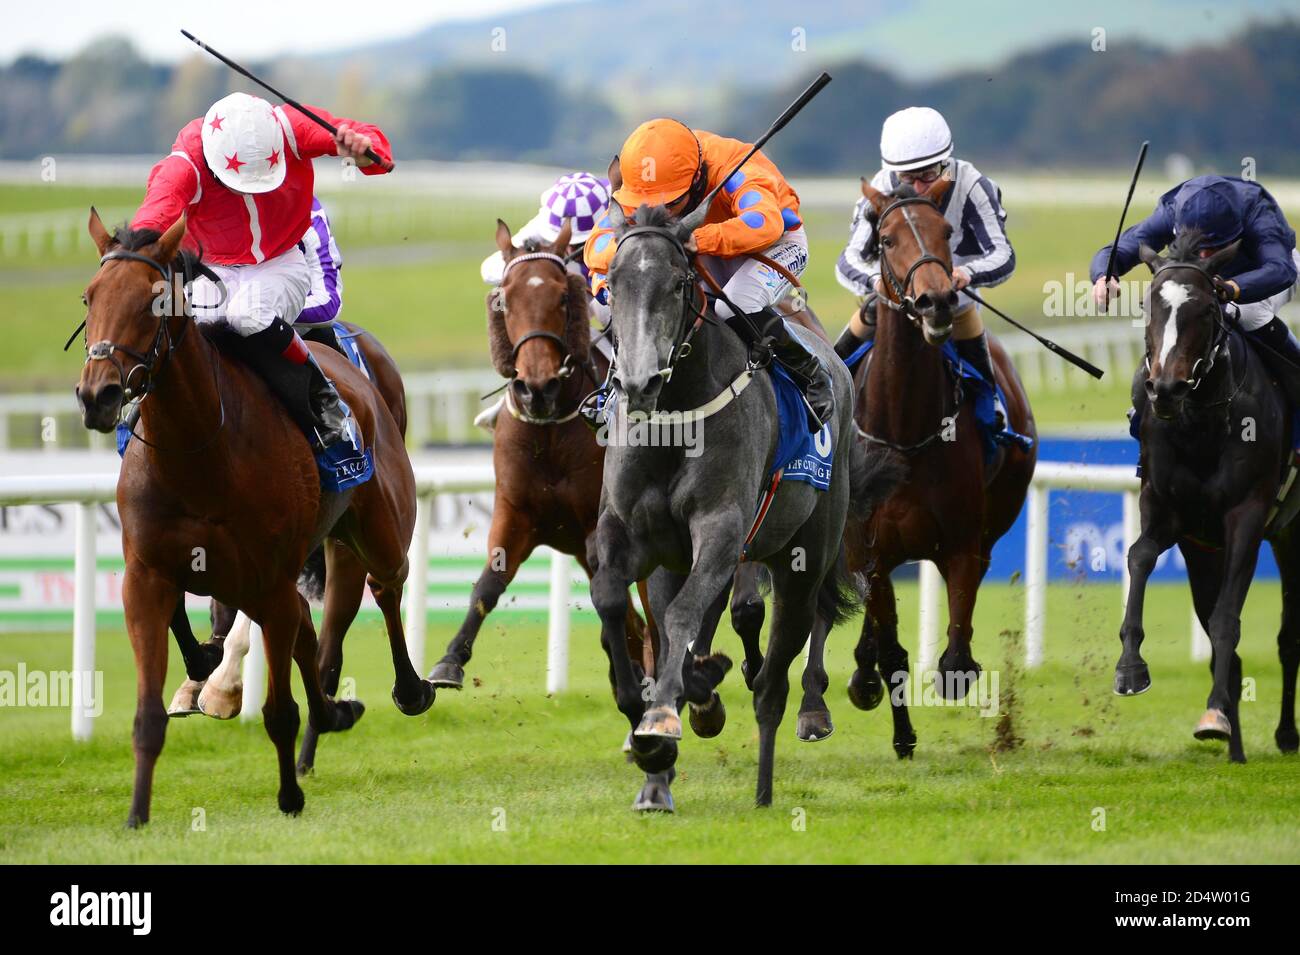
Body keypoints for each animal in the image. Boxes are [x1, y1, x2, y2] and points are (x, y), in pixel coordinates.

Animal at [78, 213, 434, 826]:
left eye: (152, 302)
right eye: (89, 297)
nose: (96, 394)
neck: (200, 450)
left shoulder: (268, 577)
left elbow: (280, 709)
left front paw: (289, 796)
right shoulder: (148, 575)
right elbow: (151, 709)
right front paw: (137, 815)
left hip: (376, 528)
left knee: (384, 584)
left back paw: (408, 690)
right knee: (314, 624)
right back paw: (328, 709)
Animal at [590, 203, 904, 815]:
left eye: (676, 283)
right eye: (612, 283)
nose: (638, 383)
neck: (676, 417)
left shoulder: (721, 528)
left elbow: (684, 618)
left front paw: (659, 723)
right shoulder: (628, 532)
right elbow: (616, 602)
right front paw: (642, 718)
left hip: (803, 559)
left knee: (775, 681)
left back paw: (769, 775)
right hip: (681, 563)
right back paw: (665, 768)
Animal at [826, 183, 1040, 758]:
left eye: (945, 231)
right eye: (884, 238)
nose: (937, 300)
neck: (904, 432)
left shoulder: (962, 543)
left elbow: (954, 661)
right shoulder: (870, 549)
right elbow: (893, 653)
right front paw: (902, 735)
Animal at [1112, 229, 1294, 764]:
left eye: (1208, 310)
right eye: (1150, 305)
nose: (1166, 387)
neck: (1201, 421)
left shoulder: (1247, 517)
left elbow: (1226, 622)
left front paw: (1214, 712)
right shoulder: (1172, 515)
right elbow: (1139, 558)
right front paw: (1131, 668)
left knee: (1289, 637)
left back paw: (1285, 734)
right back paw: (1236, 746)